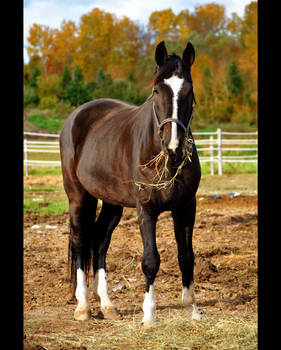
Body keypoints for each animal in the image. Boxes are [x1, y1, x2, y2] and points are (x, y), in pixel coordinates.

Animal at [59, 40, 200, 326]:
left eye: (189, 91)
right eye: (157, 90)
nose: (173, 146)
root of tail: (74, 117)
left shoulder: (186, 207)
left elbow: (186, 257)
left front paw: (192, 309)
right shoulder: (146, 210)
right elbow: (150, 260)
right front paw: (149, 315)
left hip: (112, 203)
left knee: (99, 241)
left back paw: (107, 305)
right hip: (78, 197)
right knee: (80, 242)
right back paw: (83, 307)